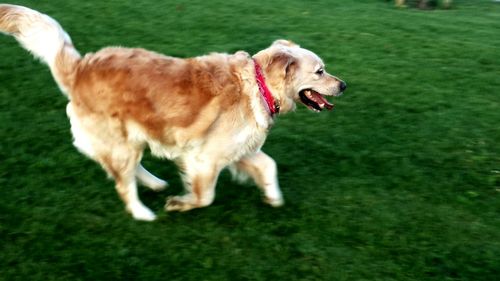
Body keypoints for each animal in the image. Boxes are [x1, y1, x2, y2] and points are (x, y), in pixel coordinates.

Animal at [0, 3, 346, 220]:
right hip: (122, 139)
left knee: (127, 169)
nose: (343, 85)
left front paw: (273, 196)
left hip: (133, 136)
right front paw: (181, 204)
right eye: (320, 72)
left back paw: (154, 183)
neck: (258, 84)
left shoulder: (238, 148)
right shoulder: (206, 157)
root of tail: (81, 67)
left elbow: (268, 165)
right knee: (123, 182)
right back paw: (142, 212)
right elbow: (206, 195)